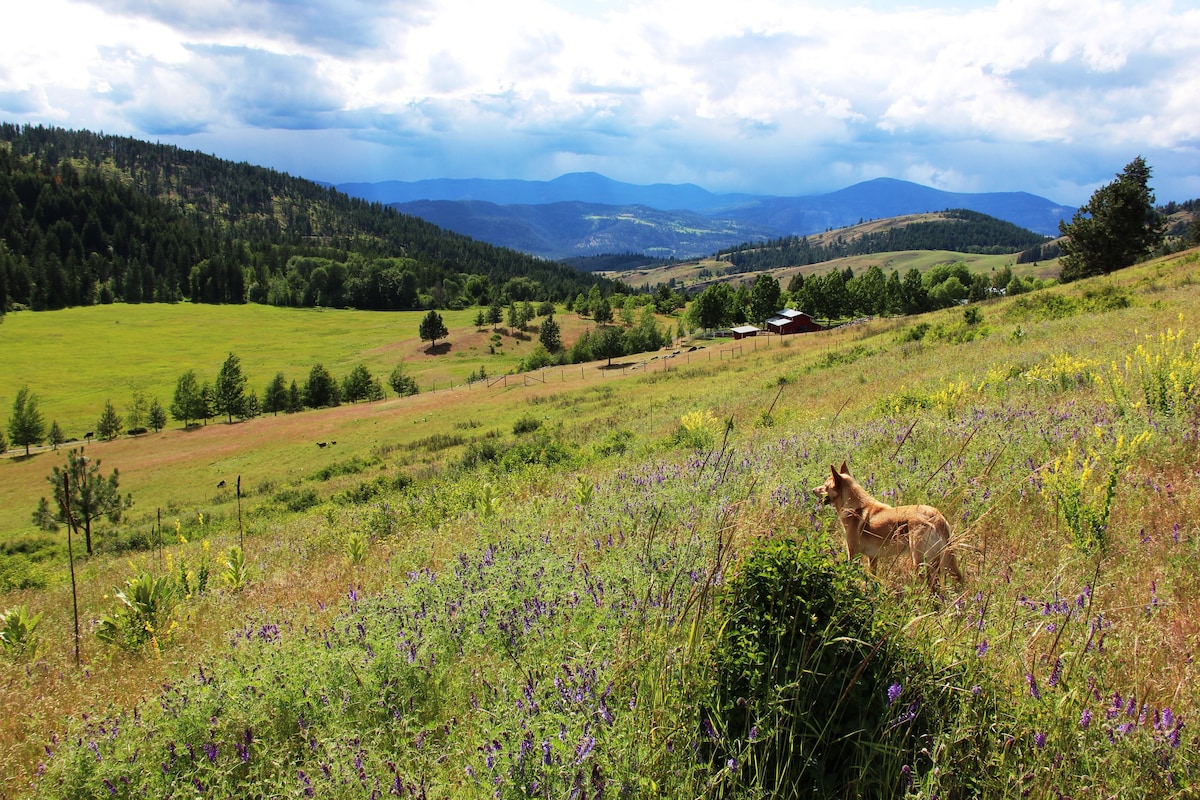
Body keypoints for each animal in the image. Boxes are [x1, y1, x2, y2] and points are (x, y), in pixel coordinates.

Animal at [811, 462, 960, 587]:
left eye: (824, 486)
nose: (812, 490)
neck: (855, 507)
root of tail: (937, 517)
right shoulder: (873, 558)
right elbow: (872, 579)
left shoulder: (853, 553)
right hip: (939, 562)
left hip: (920, 563)